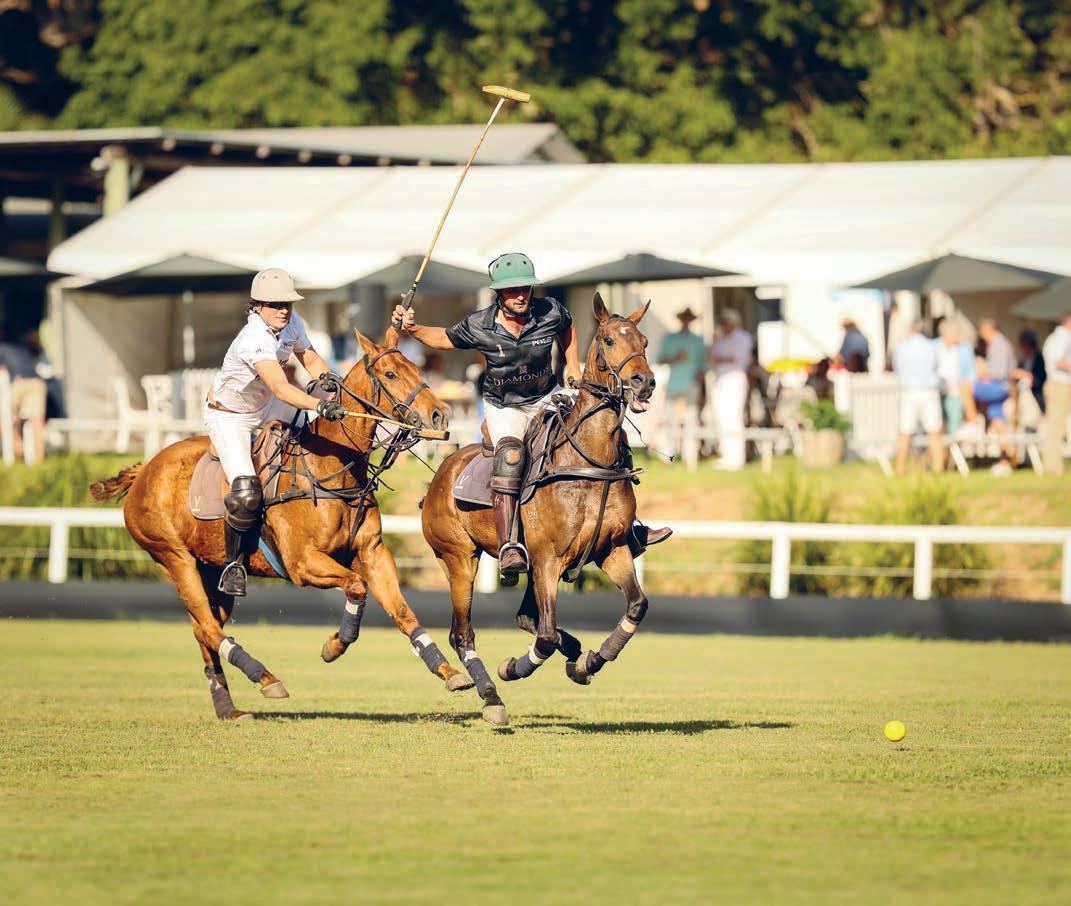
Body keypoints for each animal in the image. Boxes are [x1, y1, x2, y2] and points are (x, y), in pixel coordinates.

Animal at [91, 327, 474, 721]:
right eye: (391, 374)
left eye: (416, 367)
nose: (439, 417)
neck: (331, 467)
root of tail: (143, 471)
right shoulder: (302, 562)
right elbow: (356, 586)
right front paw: (334, 646)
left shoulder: (372, 552)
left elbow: (401, 611)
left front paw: (449, 672)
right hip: (174, 557)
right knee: (208, 626)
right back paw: (265, 677)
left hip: (210, 569)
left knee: (204, 628)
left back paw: (228, 707)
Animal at [421, 293, 656, 727]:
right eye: (610, 340)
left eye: (645, 342)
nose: (644, 382)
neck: (588, 460)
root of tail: (443, 470)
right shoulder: (548, 558)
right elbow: (545, 636)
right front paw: (516, 667)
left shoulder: (612, 549)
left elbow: (637, 605)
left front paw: (591, 660)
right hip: (458, 557)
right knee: (463, 633)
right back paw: (492, 698)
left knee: (527, 618)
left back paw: (573, 652)